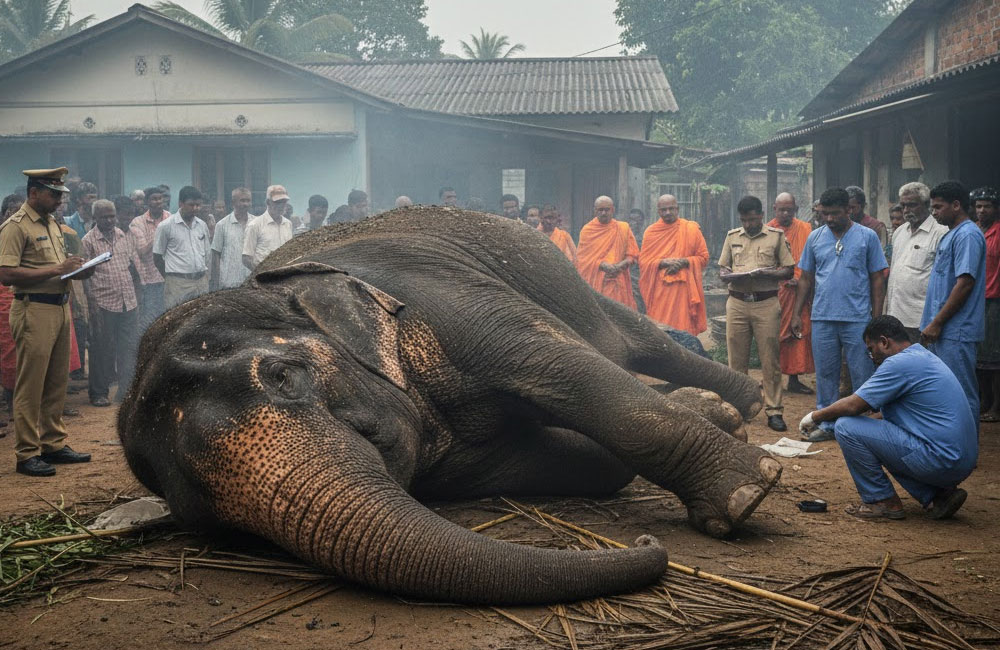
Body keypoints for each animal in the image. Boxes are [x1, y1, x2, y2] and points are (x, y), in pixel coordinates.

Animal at [118, 207, 781, 606]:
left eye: (283, 375)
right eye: (205, 516)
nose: (643, 547)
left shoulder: (435, 295)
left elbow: (551, 362)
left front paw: (747, 495)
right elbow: (581, 461)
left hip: (574, 280)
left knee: (633, 339)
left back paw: (744, 403)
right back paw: (718, 410)